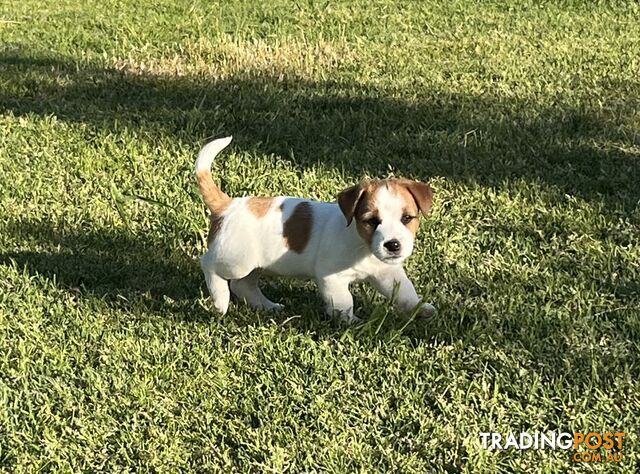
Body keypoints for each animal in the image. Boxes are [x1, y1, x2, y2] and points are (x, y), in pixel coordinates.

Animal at [195, 135, 436, 324]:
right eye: (371, 220)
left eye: (407, 218)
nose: (393, 245)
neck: (362, 244)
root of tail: (227, 204)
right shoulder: (332, 278)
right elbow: (344, 302)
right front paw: (351, 322)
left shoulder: (387, 273)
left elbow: (405, 292)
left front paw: (419, 308)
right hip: (236, 261)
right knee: (208, 264)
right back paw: (220, 300)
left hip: (255, 265)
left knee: (243, 285)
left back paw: (267, 306)